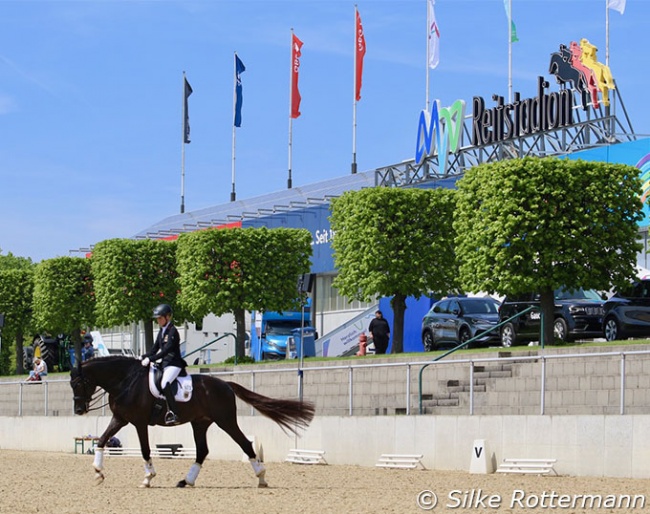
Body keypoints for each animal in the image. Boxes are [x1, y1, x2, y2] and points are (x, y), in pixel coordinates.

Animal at [71, 354, 314, 486]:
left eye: (80, 383)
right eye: (71, 384)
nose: (79, 410)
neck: (126, 381)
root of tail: (225, 384)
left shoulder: (139, 422)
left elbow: (145, 450)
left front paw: (148, 478)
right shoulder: (120, 418)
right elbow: (102, 440)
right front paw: (98, 472)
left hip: (225, 421)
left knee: (244, 443)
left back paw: (261, 477)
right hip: (200, 423)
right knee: (202, 451)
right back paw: (186, 481)